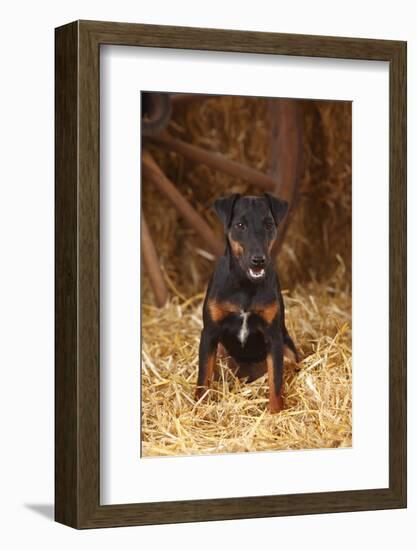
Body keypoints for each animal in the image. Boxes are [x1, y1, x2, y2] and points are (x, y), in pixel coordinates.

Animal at [195, 194, 296, 414]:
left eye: (268, 224)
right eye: (240, 225)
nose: (258, 260)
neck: (245, 283)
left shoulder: (274, 336)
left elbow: (276, 381)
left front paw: (275, 413)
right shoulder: (210, 333)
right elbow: (203, 377)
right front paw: (199, 409)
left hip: (289, 349)